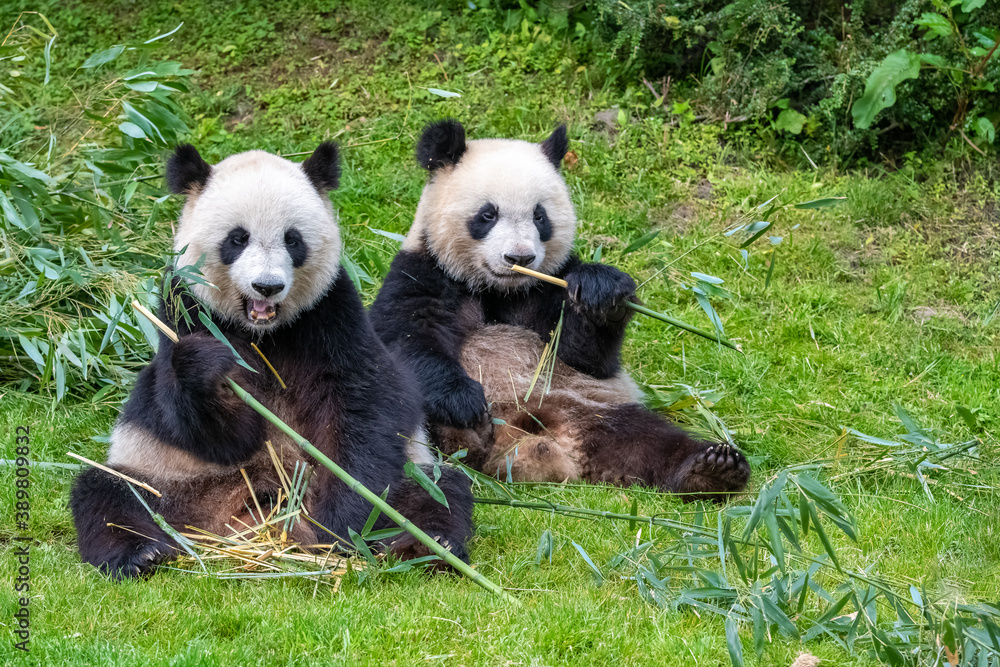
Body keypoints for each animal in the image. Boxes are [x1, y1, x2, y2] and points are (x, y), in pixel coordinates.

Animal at [70, 142, 474, 579]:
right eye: (237, 238)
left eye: (293, 240)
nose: (267, 286)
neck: (264, 332)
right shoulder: (185, 310)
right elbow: (212, 429)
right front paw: (206, 367)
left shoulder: (331, 316)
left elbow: (365, 405)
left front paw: (342, 523)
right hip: (171, 481)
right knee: (110, 495)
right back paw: (139, 553)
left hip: (411, 474)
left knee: (438, 492)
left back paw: (426, 545)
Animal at [369, 120, 750, 499]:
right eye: (487, 214)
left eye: (540, 216)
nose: (520, 257)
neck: (498, 290)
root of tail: (534, 446)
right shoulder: (421, 275)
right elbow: (410, 343)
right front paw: (462, 401)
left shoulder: (549, 287)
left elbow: (584, 356)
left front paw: (602, 293)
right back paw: (468, 434)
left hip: (591, 407)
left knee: (649, 441)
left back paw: (711, 469)